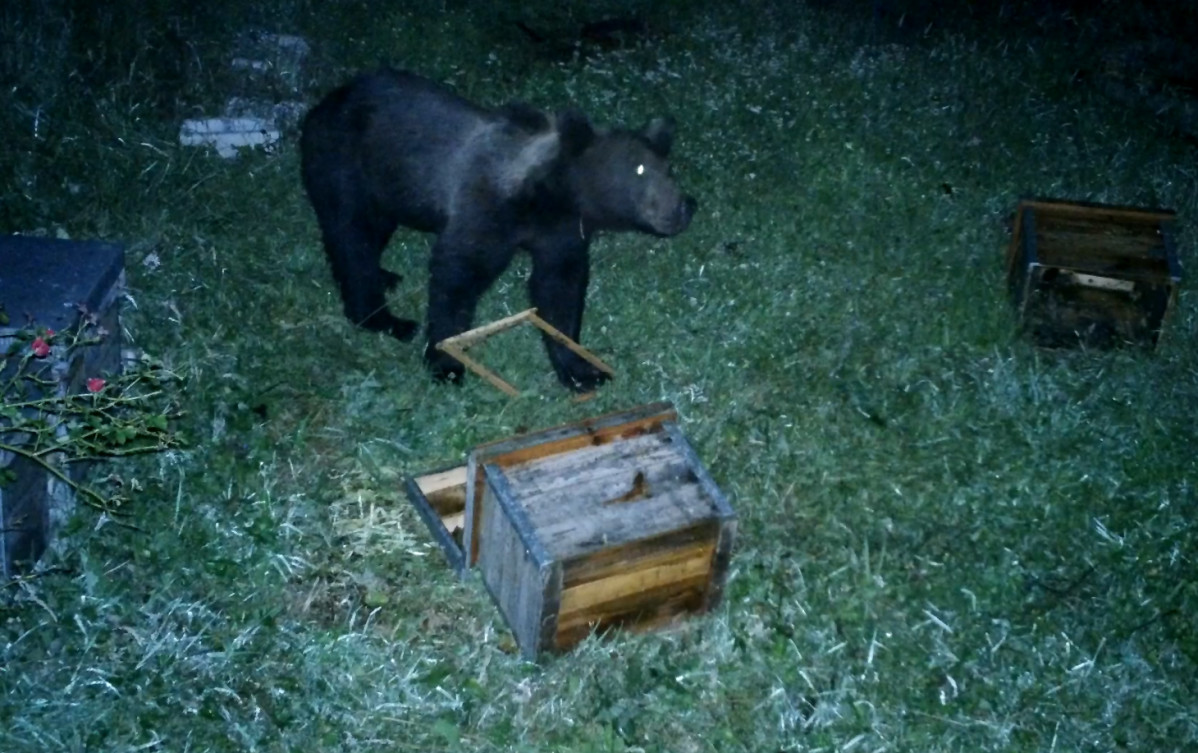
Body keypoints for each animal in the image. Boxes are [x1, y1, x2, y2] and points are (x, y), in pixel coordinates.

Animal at [294, 67, 699, 390]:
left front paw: (580, 370)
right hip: (342, 164)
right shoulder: (485, 208)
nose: (685, 207)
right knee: (351, 236)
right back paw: (383, 318)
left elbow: (560, 290)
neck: (548, 197)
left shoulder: (560, 231)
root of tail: (321, 105)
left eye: (669, 169)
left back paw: (385, 276)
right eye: (640, 169)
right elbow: (456, 275)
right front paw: (446, 363)